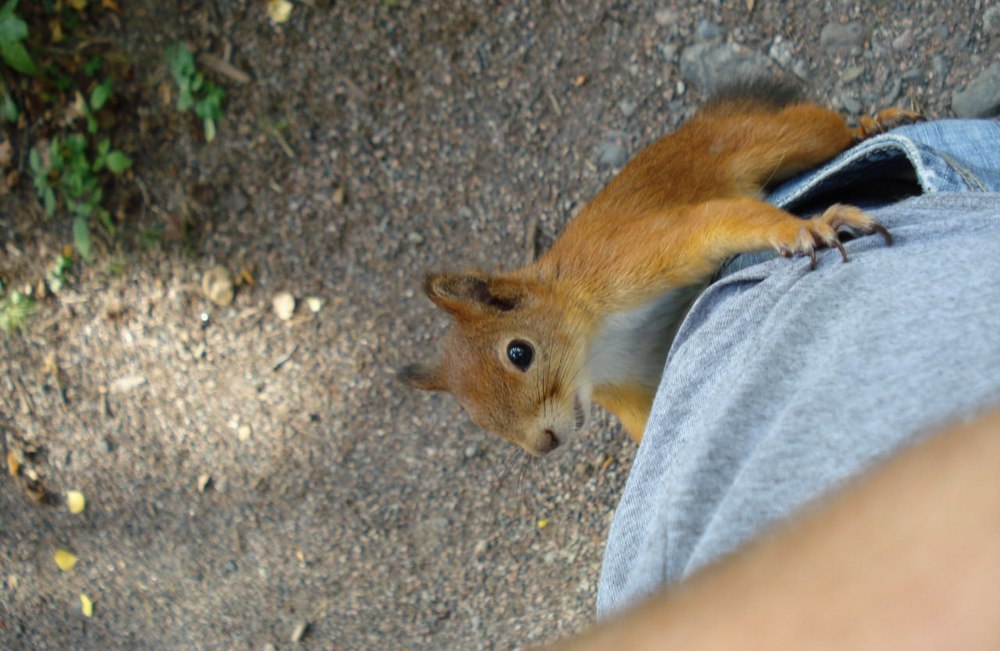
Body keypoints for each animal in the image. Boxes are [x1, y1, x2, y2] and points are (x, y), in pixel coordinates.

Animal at [400, 80, 920, 458]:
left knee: (823, 127)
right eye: (473, 417)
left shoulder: (628, 257)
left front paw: (808, 227)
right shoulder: (626, 386)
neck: (596, 348)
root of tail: (698, 124)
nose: (543, 445)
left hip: (773, 141)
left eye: (519, 353)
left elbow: (713, 223)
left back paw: (875, 123)